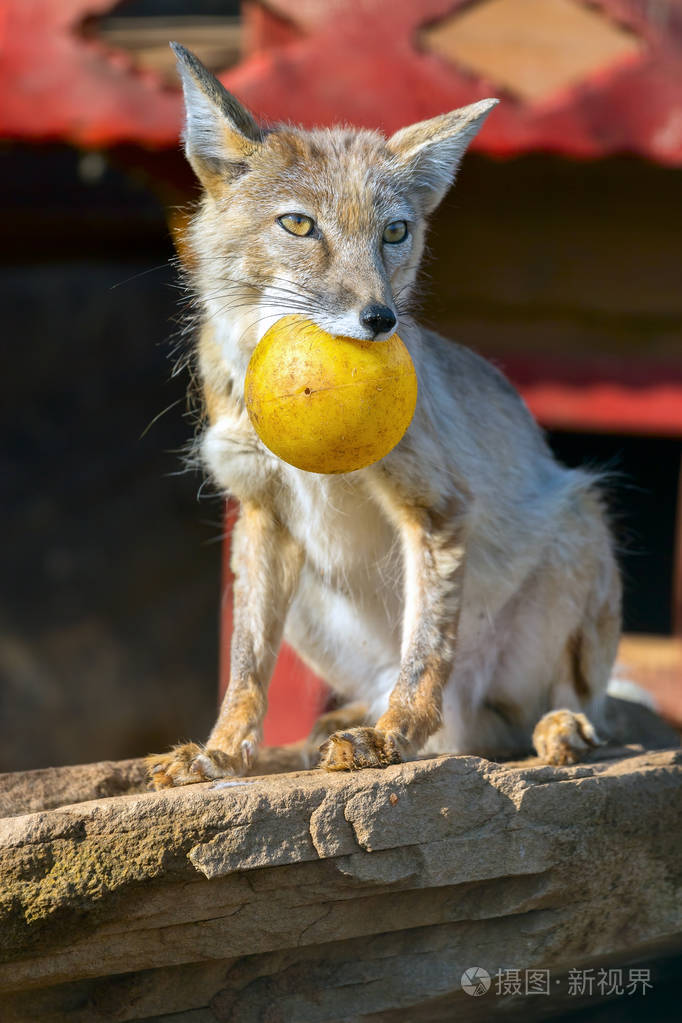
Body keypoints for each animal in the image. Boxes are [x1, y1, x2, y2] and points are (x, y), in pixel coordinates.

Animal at [149, 39, 625, 785]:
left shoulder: (438, 504)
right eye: (298, 224)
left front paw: (391, 738)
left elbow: (424, 652)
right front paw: (221, 752)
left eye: (394, 233)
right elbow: (247, 668)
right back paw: (332, 729)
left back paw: (555, 729)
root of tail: (465, 727)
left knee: (581, 707)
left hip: (582, 520)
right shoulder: (261, 511)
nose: (380, 319)